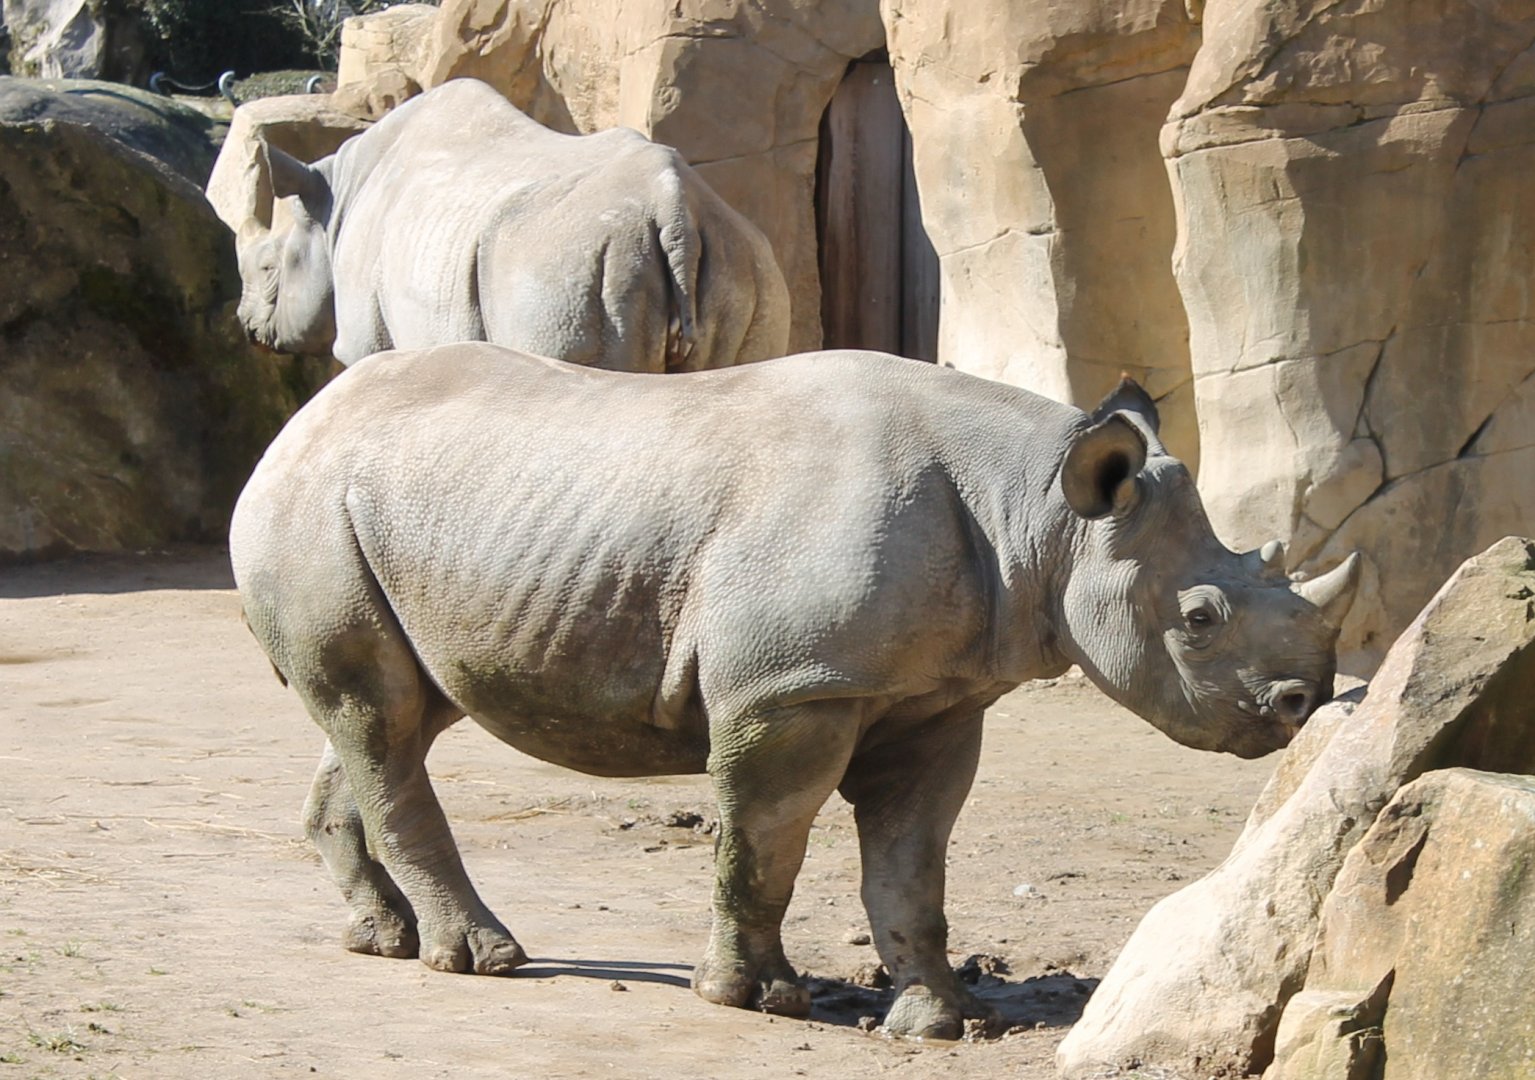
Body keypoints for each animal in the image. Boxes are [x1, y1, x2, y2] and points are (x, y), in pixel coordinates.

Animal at [230, 344, 1360, 1039]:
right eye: (1199, 618)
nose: (1301, 704)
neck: (1038, 511)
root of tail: (297, 422)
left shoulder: (939, 697)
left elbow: (911, 862)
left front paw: (936, 1021)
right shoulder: (792, 688)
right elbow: (763, 841)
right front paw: (755, 1000)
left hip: (407, 518)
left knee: (388, 718)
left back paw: (381, 941)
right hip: (314, 507)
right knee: (380, 716)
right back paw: (481, 960)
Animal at [232, 78, 790, 371]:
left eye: (267, 267)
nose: (246, 323)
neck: (332, 200)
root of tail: (679, 214)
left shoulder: (367, 342)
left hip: (571, 268)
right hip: (751, 266)